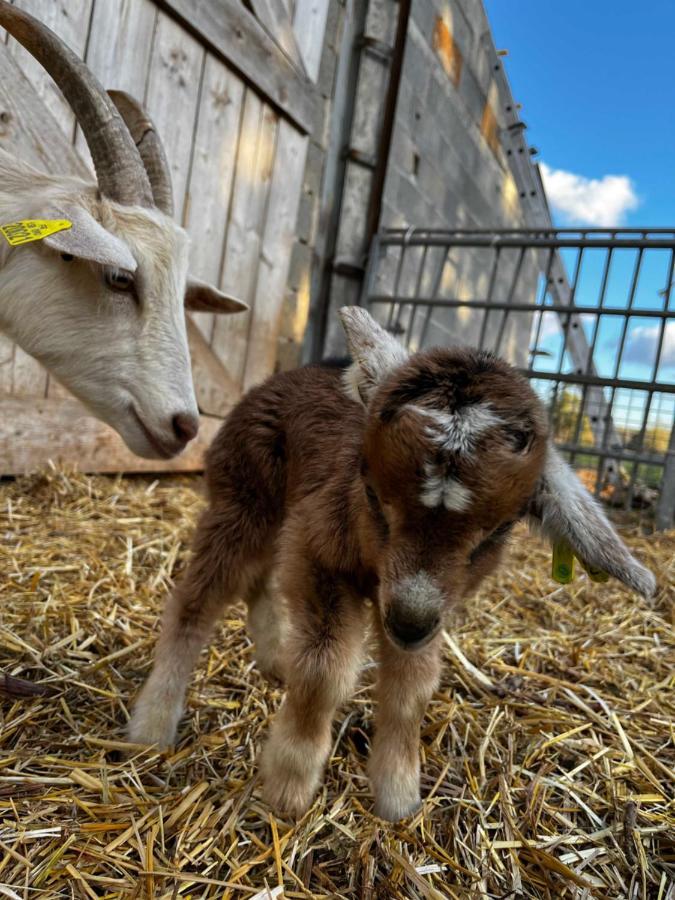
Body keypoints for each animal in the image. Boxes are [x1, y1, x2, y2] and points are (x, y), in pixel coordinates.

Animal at [129, 306, 656, 820]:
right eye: (372, 494)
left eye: (498, 531)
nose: (406, 623)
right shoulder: (320, 551)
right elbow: (325, 671)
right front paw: (287, 789)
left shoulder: (427, 606)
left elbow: (412, 690)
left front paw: (399, 799)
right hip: (244, 492)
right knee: (199, 599)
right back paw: (152, 725)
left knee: (259, 581)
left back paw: (275, 659)